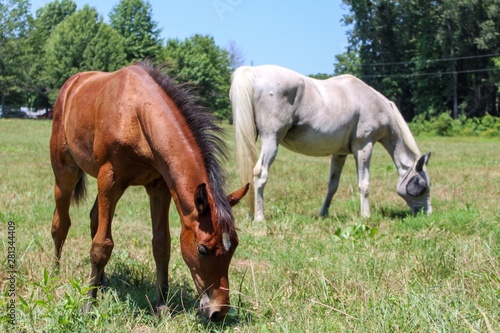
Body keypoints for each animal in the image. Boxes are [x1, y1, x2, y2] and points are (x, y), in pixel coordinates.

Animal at [49, 61, 249, 320]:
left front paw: (161, 305)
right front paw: (87, 306)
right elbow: (101, 245)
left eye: (233, 245)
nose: (219, 311)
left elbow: (161, 244)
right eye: (203, 249)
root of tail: (71, 85)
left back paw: (101, 282)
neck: (136, 112)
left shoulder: (159, 187)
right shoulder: (109, 178)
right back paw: (55, 273)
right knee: (61, 223)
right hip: (65, 172)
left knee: (94, 218)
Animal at [230, 64, 430, 220]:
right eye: (422, 185)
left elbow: (332, 185)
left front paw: (323, 213)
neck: (373, 103)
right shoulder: (364, 147)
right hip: (271, 140)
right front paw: (366, 215)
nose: (427, 214)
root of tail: (253, 71)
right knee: (260, 173)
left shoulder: (339, 154)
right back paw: (259, 217)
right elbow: (364, 184)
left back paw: (251, 213)